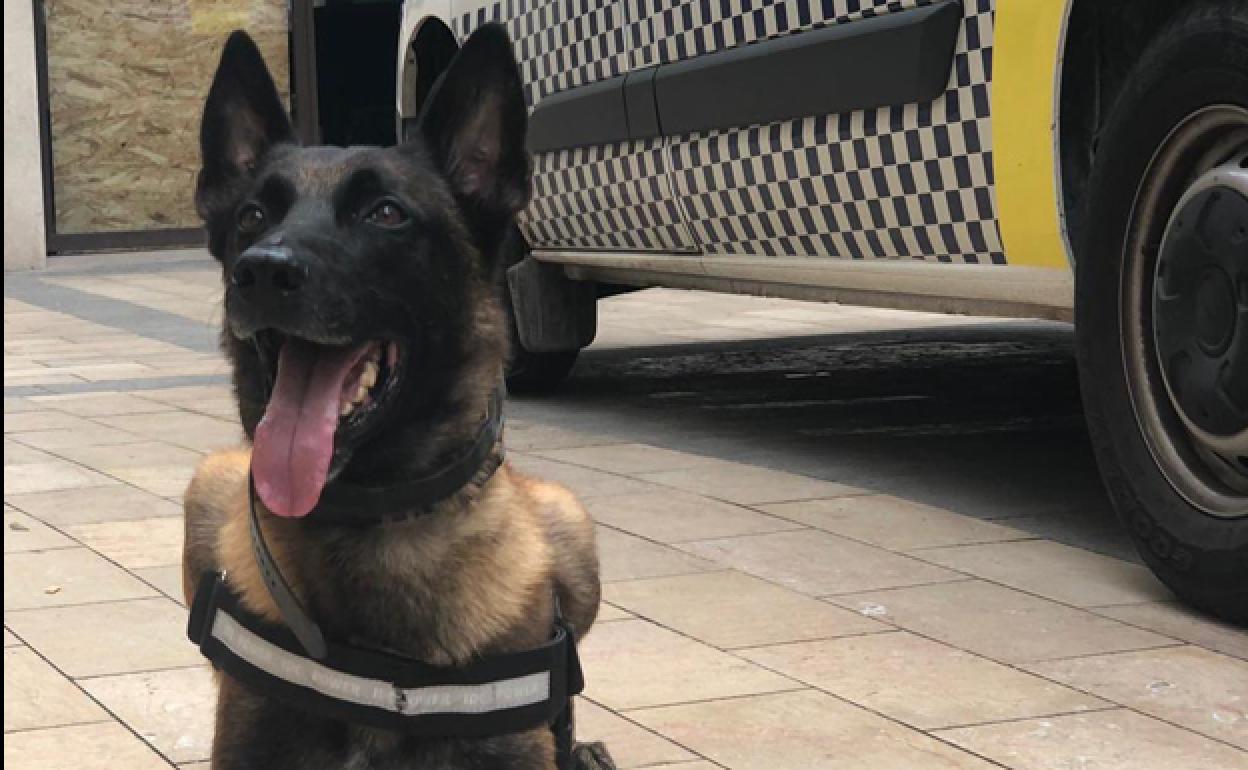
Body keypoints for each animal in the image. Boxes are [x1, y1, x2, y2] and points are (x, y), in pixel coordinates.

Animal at [179, 24, 614, 768]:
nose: (261, 271)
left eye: (386, 213)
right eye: (253, 214)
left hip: (571, 525)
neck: (369, 523)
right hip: (207, 486)